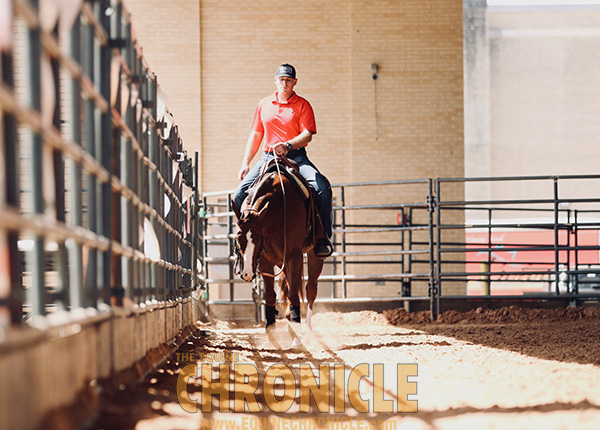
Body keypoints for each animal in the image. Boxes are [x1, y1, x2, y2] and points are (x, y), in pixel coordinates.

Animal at [232, 157, 324, 342]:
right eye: (238, 238)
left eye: (258, 239)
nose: (247, 274)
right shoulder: (264, 261)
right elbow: (270, 296)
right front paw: (271, 330)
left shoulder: (293, 256)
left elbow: (294, 295)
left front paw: (296, 334)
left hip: (313, 255)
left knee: (310, 289)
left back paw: (306, 330)